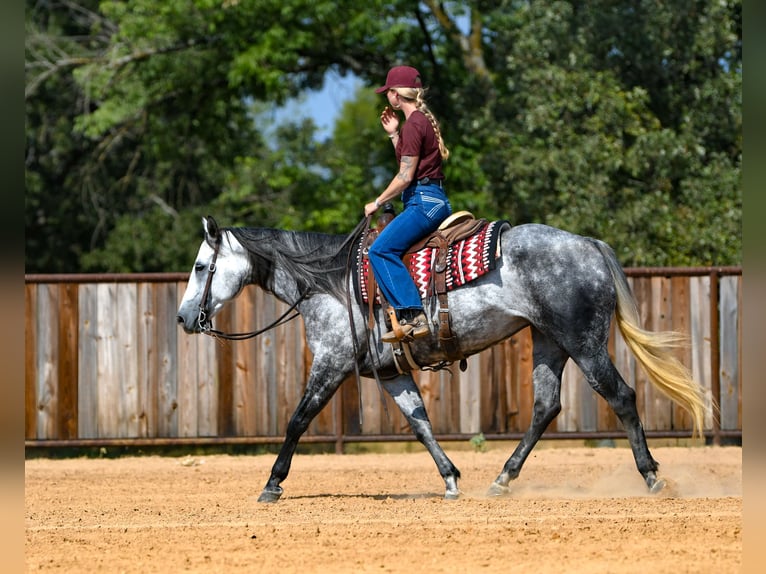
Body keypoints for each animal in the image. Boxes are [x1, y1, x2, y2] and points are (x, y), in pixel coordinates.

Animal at [176, 215, 707, 502]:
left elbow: (297, 420)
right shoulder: (390, 373)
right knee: (545, 407)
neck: (327, 281)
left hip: (583, 342)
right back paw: (502, 479)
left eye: (201, 266)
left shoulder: (330, 362)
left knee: (621, 395)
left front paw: (272, 484)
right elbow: (420, 422)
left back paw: (652, 477)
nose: (183, 318)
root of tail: (590, 245)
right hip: (549, 342)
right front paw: (451, 479)